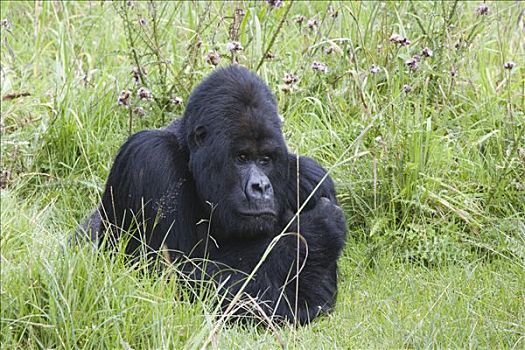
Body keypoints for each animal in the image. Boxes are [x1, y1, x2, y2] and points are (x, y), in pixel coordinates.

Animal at [80, 64, 346, 324]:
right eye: (241, 157)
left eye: (265, 159)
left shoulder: (313, 179)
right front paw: (310, 234)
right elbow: (168, 280)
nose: (260, 186)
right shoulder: (149, 158)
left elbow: (320, 293)